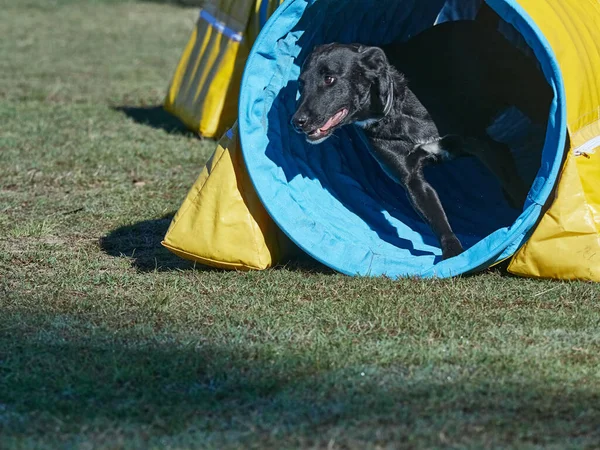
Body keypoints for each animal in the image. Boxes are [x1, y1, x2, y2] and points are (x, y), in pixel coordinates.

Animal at [292, 20, 552, 260]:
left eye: (329, 78)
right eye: (301, 83)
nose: (297, 122)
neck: (395, 111)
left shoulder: (483, 145)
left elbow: (512, 182)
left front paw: (523, 220)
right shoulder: (412, 181)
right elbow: (436, 217)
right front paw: (452, 253)